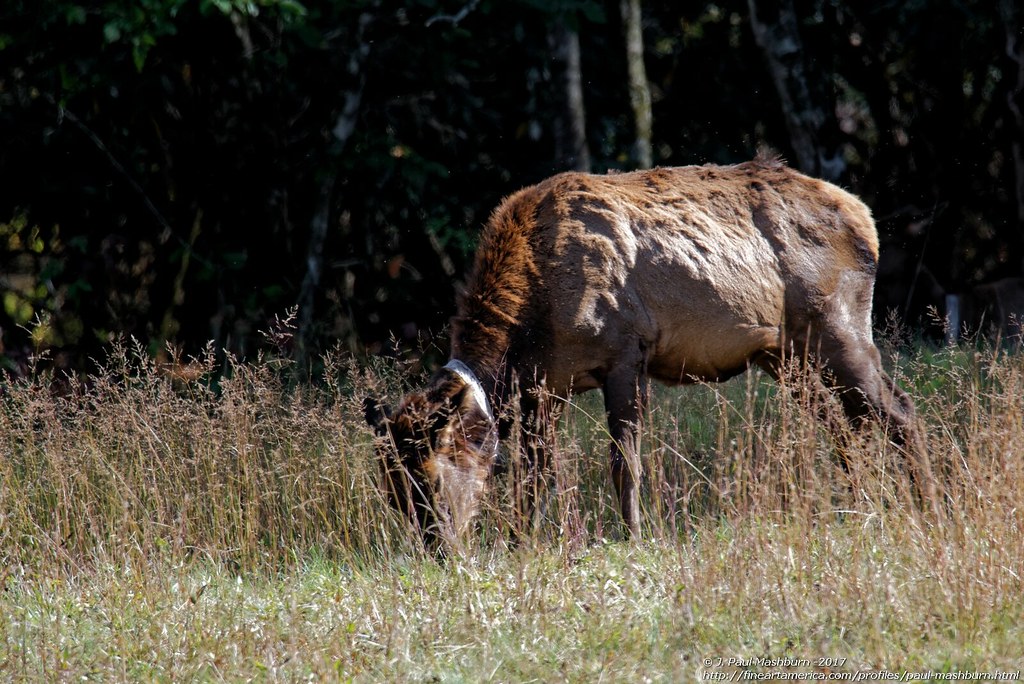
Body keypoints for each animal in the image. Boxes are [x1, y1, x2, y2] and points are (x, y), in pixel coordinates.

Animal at [365, 154, 927, 551]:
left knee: (898, 411)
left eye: (433, 478)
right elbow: (536, 475)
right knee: (847, 427)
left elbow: (623, 464)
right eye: (393, 491)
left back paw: (929, 503)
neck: (527, 327)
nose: (439, 552)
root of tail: (866, 218)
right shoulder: (544, 388)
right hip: (786, 355)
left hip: (838, 327)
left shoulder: (625, 355)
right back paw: (859, 507)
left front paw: (634, 537)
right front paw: (524, 543)